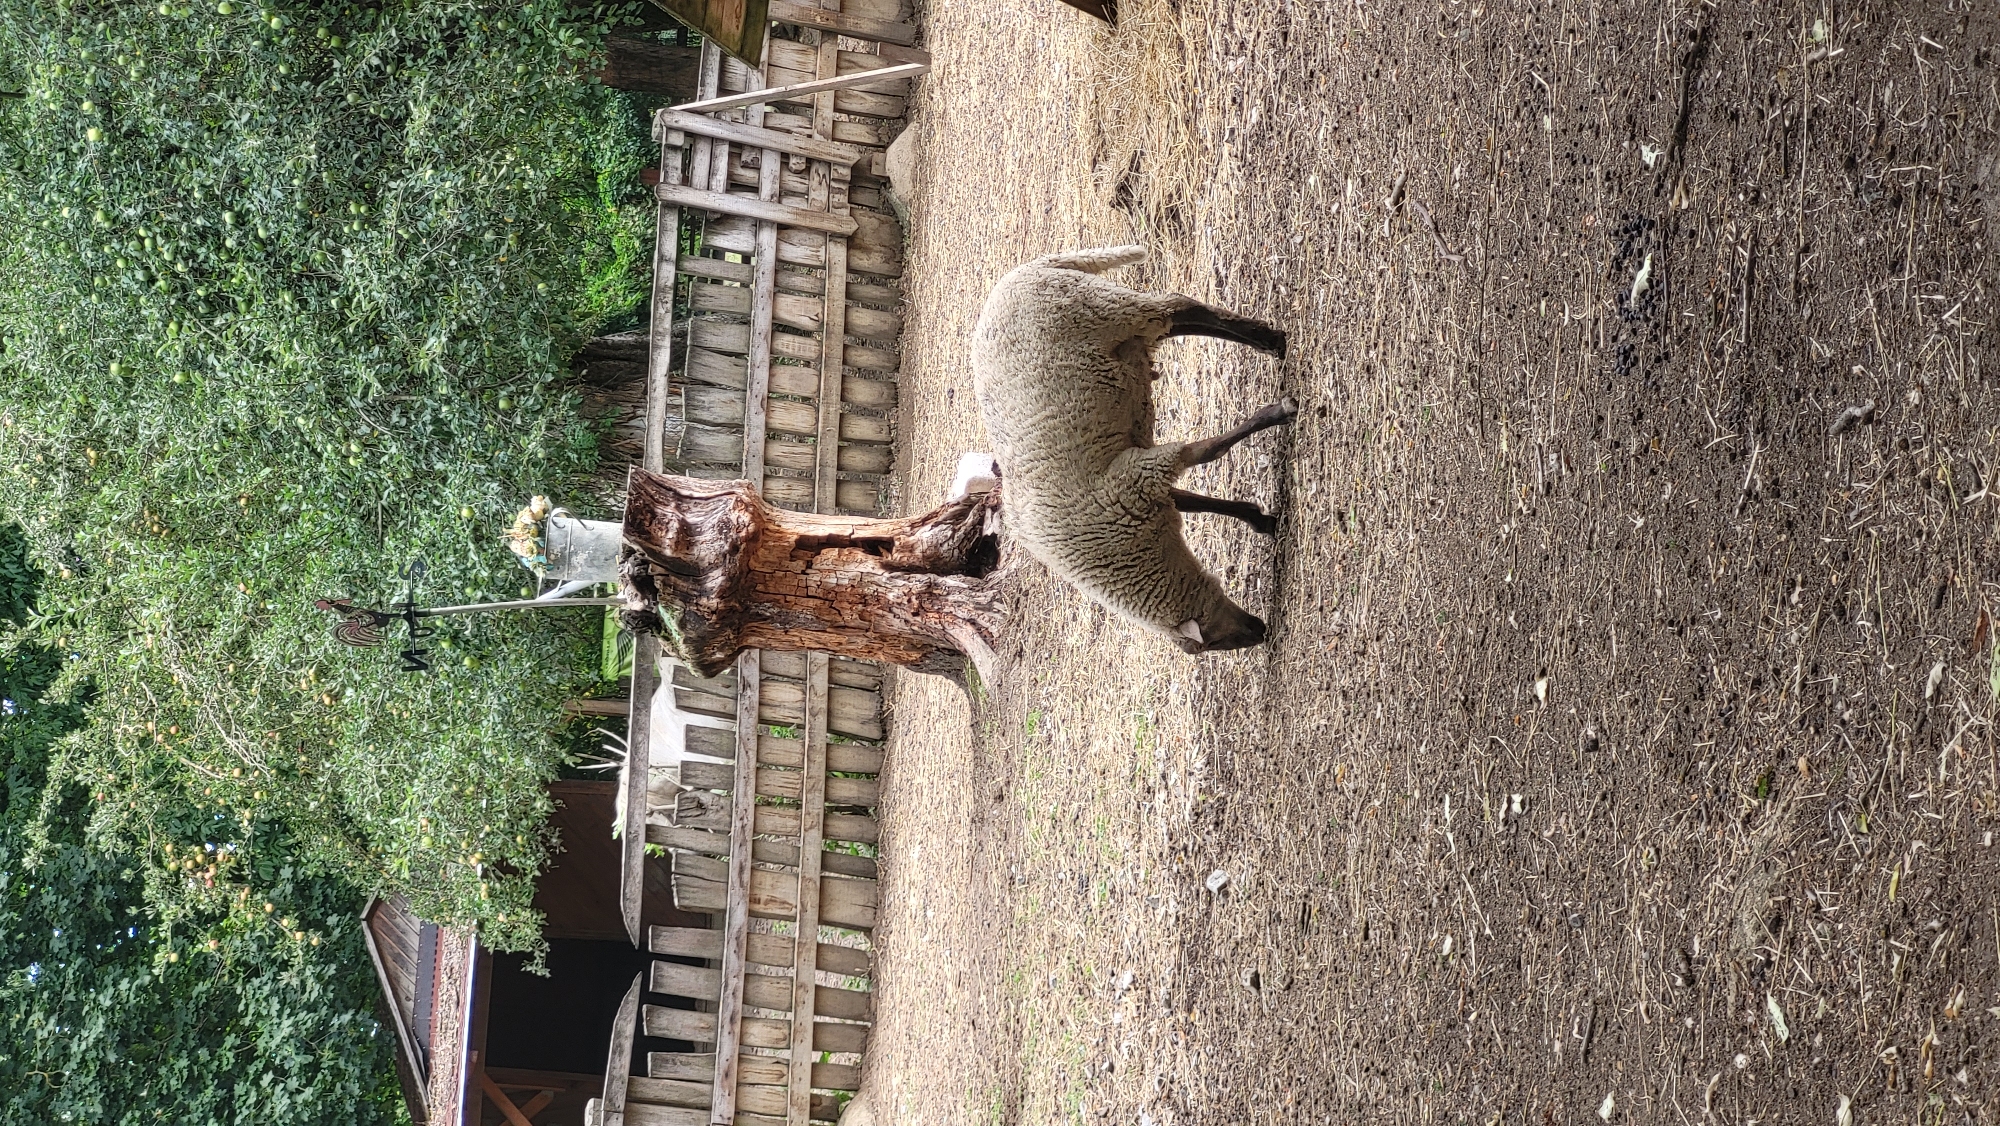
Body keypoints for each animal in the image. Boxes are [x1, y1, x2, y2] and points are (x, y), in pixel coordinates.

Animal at [972, 245, 1295, 654]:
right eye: (1214, 644)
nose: (1261, 633)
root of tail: (1032, 267)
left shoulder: (1133, 476)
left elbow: (1207, 452)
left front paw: (1279, 412)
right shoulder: (1136, 483)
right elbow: (1191, 500)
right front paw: (1261, 520)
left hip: (1104, 308)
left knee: (1179, 305)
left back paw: (1270, 340)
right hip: (1113, 317)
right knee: (1176, 320)